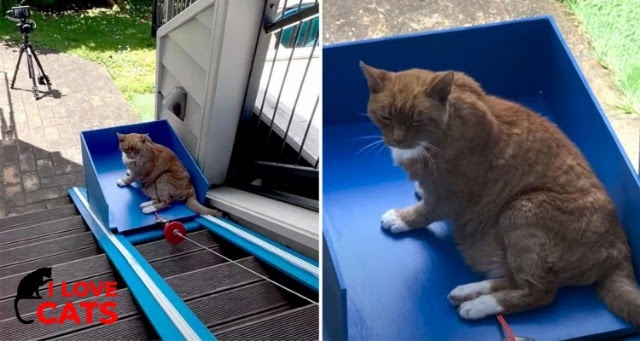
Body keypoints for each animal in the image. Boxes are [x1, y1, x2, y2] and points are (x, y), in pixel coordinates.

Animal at [360, 61, 640, 326]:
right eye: (385, 117)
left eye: (417, 121)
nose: (397, 140)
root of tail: (619, 247)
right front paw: (419, 188)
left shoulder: (449, 197)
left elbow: (425, 213)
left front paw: (401, 218)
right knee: (516, 279)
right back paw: (469, 291)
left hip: (521, 209)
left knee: (540, 291)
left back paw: (480, 305)